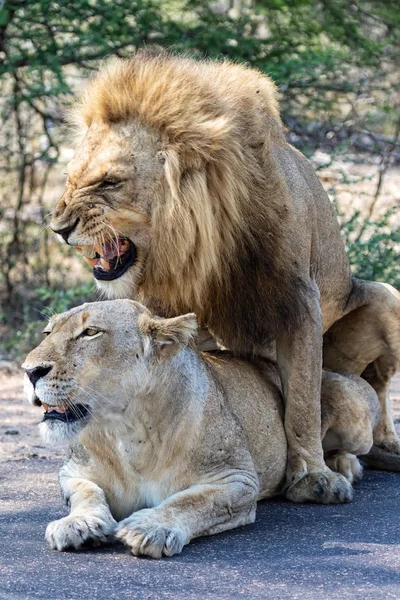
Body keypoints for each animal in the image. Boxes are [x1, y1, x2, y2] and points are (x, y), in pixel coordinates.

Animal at [22, 300, 382, 556]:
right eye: (47, 333)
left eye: (90, 333)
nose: (29, 371)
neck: (127, 428)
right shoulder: (74, 472)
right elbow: (86, 493)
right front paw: (78, 524)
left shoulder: (237, 479)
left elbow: (193, 501)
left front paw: (150, 527)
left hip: (349, 409)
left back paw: (343, 468)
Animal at [50, 49, 400, 504]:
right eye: (71, 179)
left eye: (109, 182)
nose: (58, 228)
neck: (206, 239)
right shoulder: (164, 306)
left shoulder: (298, 300)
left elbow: (303, 402)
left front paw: (311, 476)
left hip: (388, 298)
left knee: (375, 387)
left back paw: (370, 451)